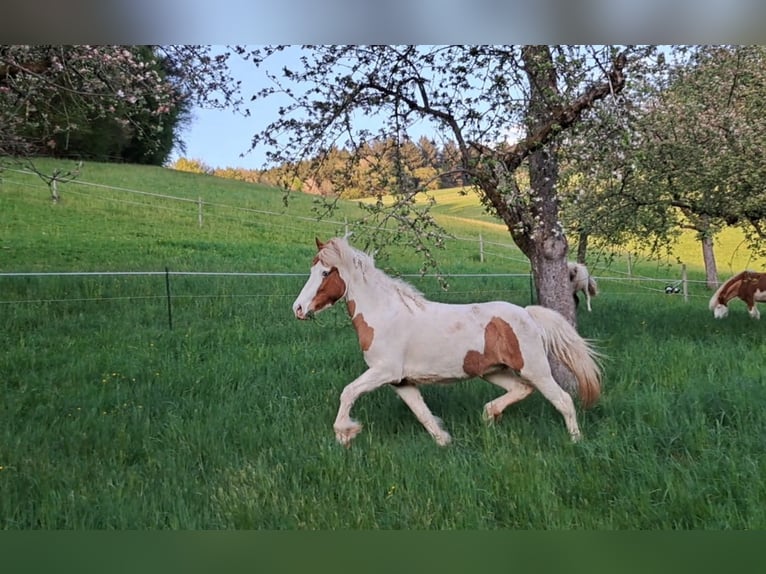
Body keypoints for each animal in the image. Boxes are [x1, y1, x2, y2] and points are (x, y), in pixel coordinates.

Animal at [292, 236, 602, 447]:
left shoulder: (383, 372)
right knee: (521, 389)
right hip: (494, 371)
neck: (385, 314)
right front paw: (444, 441)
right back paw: (489, 416)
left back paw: (575, 440)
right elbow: (422, 414)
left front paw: (345, 433)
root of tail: (528, 314)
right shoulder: (401, 382)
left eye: (324, 273)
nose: (298, 309)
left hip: (535, 368)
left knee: (563, 400)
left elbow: (348, 392)